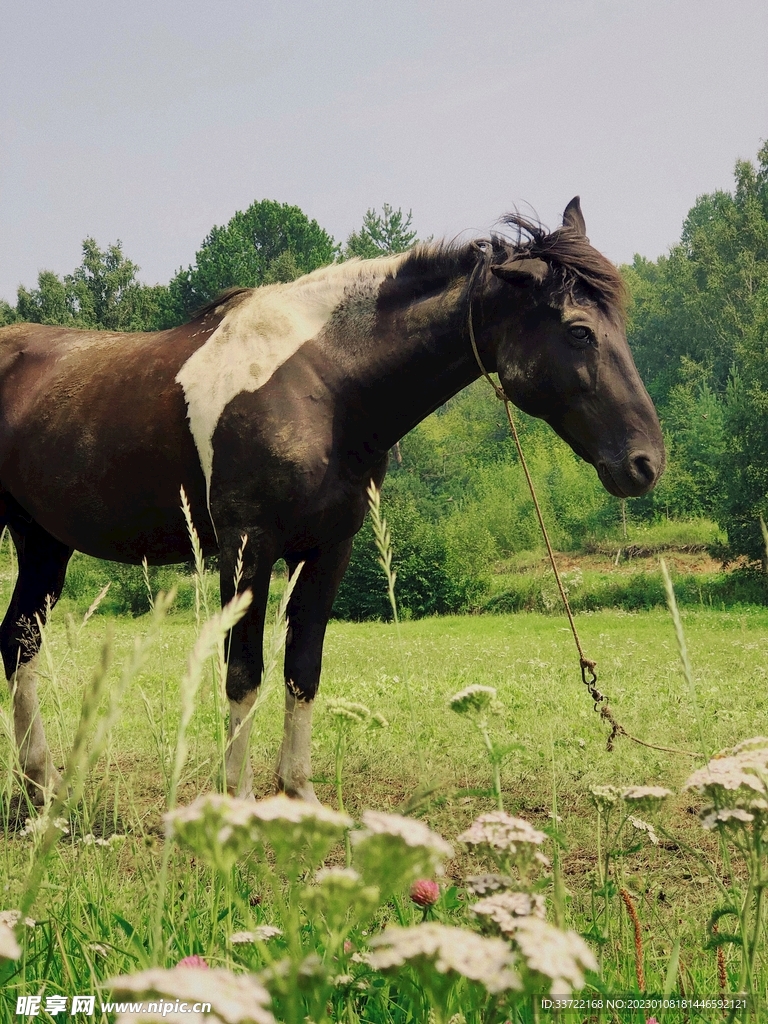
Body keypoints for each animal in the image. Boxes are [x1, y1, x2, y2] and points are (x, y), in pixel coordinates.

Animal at [0, 197, 664, 805]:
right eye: (578, 331)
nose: (646, 463)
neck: (323, 385)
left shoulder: (328, 547)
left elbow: (303, 669)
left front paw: (298, 794)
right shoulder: (247, 547)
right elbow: (243, 672)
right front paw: (236, 800)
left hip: (43, 544)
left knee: (17, 646)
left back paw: (42, 784)